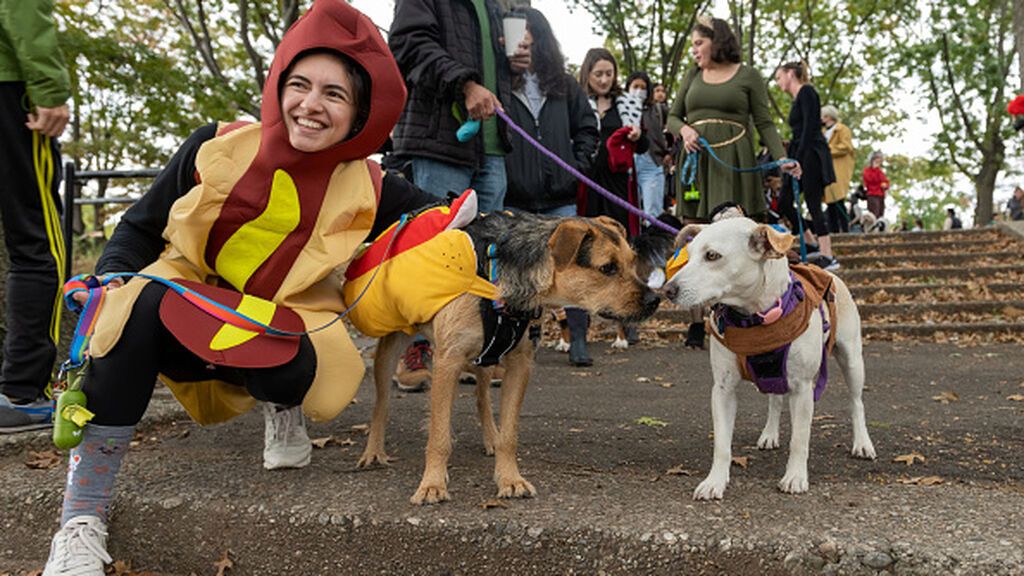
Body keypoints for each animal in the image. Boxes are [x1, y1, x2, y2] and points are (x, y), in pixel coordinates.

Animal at [360, 210, 659, 502]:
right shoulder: (448, 362)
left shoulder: (519, 364)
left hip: (486, 357)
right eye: (607, 267)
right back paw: (373, 452)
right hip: (390, 349)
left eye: (632, 262)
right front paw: (432, 484)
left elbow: (510, 435)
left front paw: (509, 479)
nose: (654, 300)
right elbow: (439, 435)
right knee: (380, 404)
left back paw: (491, 437)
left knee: (481, 397)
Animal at [667, 216, 876, 498]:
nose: (667, 289)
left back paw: (862, 443)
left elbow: (799, 439)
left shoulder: (803, 388)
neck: (753, 316)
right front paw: (715, 481)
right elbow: (722, 444)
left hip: (852, 359)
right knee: (775, 401)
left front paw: (795, 476)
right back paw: (770, 434)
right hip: (774, 375)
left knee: (856, 403)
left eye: (712, 256)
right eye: (687, 256)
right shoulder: (723, 389)